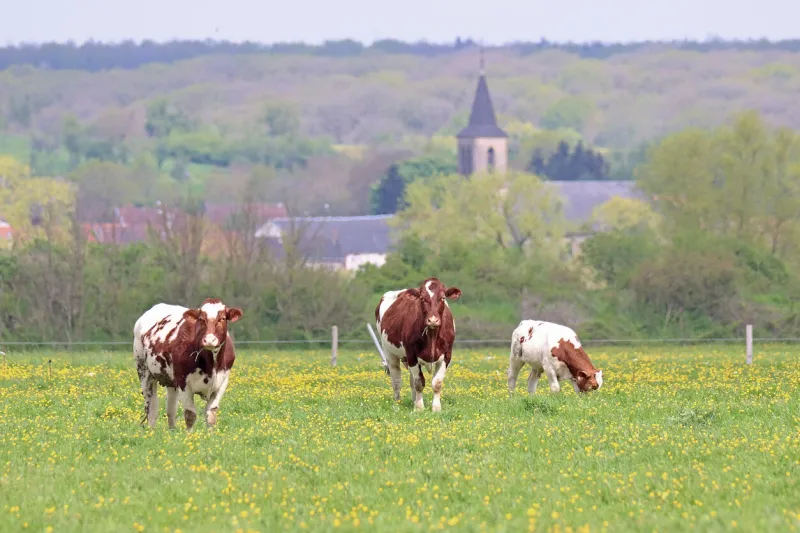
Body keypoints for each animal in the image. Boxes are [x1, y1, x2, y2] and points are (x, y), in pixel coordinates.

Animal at [133, 298, 243, 430]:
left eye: (222, 318)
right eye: (201, 319)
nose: (209, 340)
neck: (211, 366)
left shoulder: (222, 383)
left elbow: (211, 414)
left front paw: (211, 434)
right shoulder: (183, 383)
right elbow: (190, 415)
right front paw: (190, 434)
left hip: (171, 381)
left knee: (171, 409)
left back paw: (172, 430)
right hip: (144, 371)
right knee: (152, 407)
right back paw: (151, 430)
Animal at [375, 277, 462, 411]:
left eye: (442, 297)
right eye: (422, 298)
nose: (432, 320)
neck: (432, 336)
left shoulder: (447, 355)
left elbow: (437, 383)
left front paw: (436, 408)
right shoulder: (412, 355)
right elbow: (419, 383)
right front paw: (419, 408)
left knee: (411, 381)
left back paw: (413, 401)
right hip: (389, 352)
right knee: (396, 379)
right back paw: (397, 403)